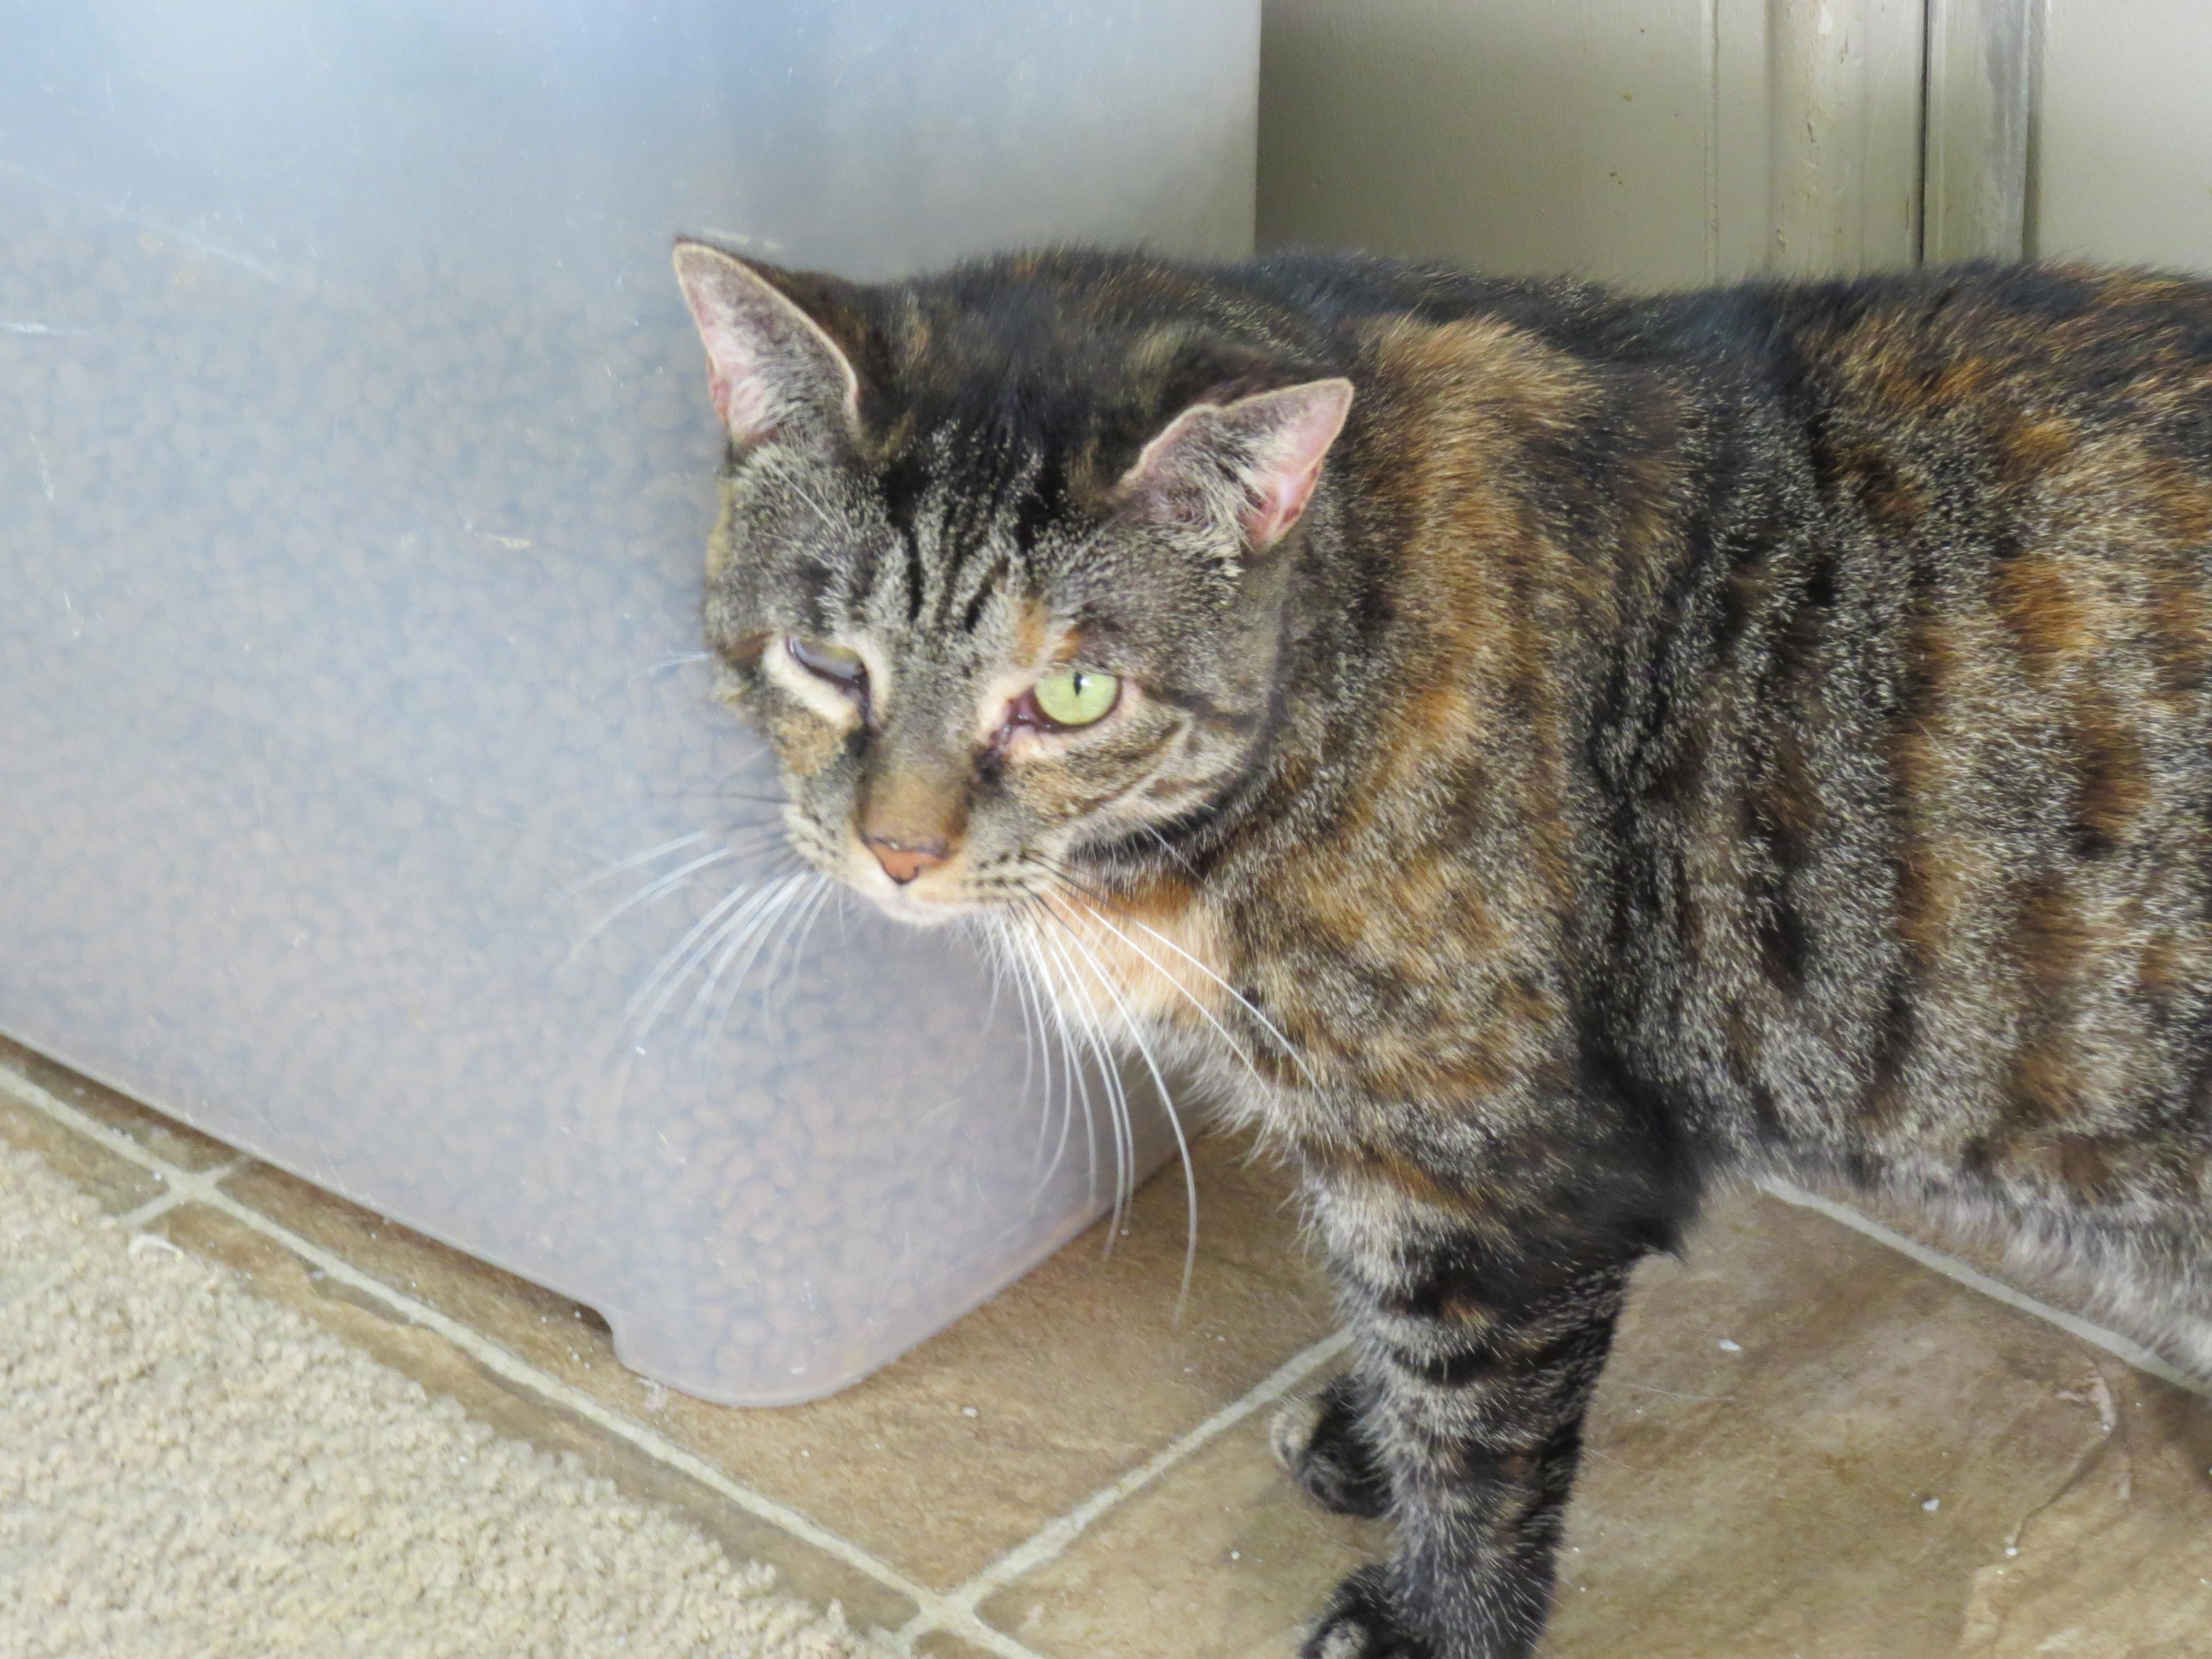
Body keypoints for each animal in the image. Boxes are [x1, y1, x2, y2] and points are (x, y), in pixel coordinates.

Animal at [664, 243, 2212, 1659]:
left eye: (1076, 691)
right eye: (826, 658)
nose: (898, 848)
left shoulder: (1490, 1171)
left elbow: (1472, 1423)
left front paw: (1434, 1619)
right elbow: (1385, 1326)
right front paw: (1367, 1435)